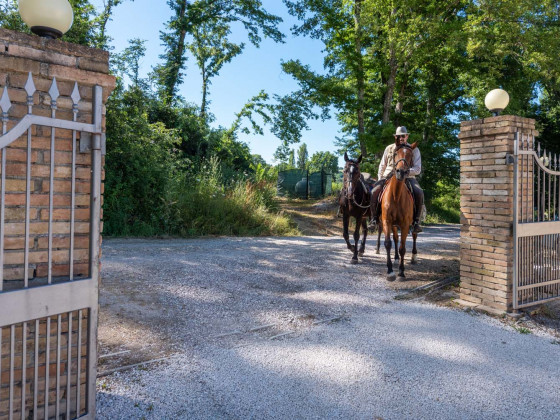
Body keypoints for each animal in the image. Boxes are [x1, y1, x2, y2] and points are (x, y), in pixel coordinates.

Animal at [380, 143, 420, 280]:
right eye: (396, 153)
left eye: (411, 155)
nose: (401, 172)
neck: (396, 195)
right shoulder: (387, 221)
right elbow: (388, 243)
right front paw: (390, 271)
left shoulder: (405, 224)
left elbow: (403, 248)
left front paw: (401, 272)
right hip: (394, 225)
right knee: (396, 239)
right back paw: (396, 258)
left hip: (412, 223)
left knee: (414, 235)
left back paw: (414, 257)